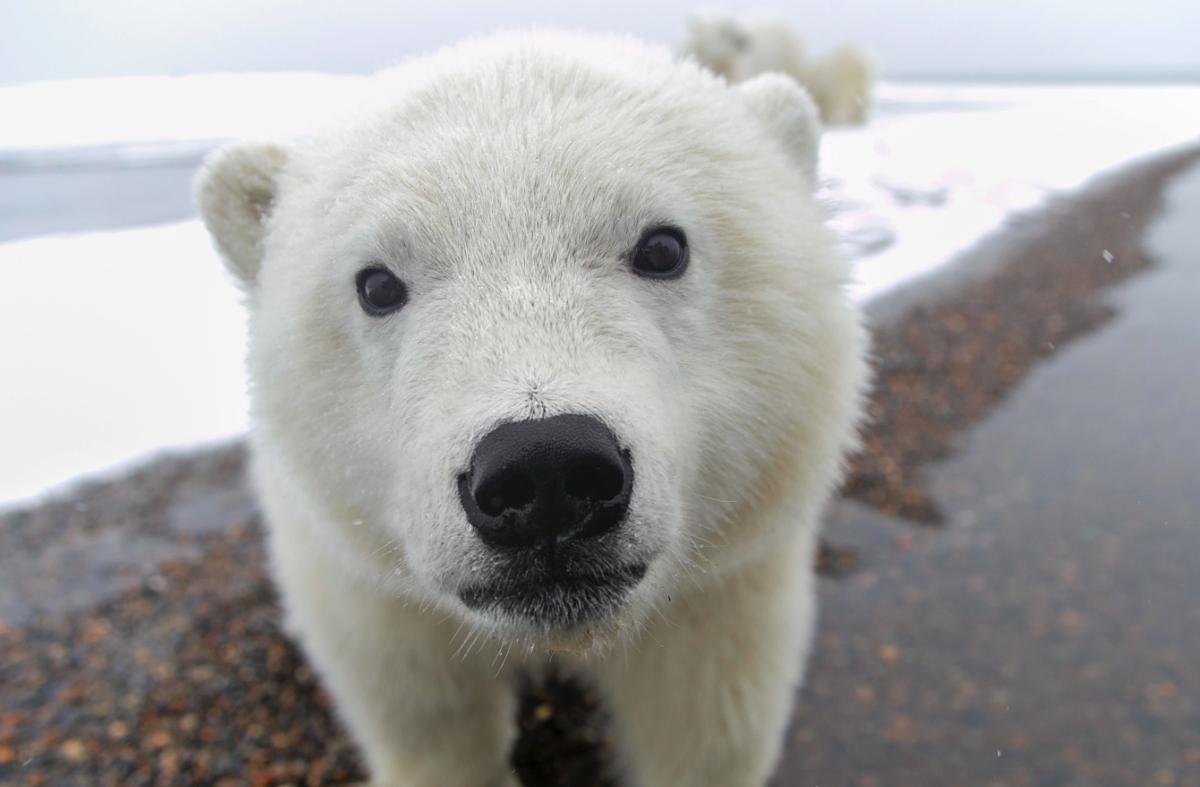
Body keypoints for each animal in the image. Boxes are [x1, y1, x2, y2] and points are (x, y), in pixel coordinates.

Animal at [196, 27, 873, 782]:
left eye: (663, 245)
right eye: (376, 283)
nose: (545, 468)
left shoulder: (721, 591)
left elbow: (703, 725)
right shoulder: (383, 607)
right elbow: (431, 723)